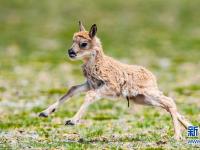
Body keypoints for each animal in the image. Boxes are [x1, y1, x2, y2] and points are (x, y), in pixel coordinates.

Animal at [39, 20, 191, 139]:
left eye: (83, 43)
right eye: (73, 41)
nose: (70, 52)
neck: (100, 63)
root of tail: (150, 75)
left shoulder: (109, 87)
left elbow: (90, 96)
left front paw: (72, 120)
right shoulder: (90, 84)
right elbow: (72, 89)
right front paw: (45, 113)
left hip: (149, 94)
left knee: (169, 102)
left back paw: (177, 136)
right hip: (143, 99)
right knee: (166, 106)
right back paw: (189, 128)